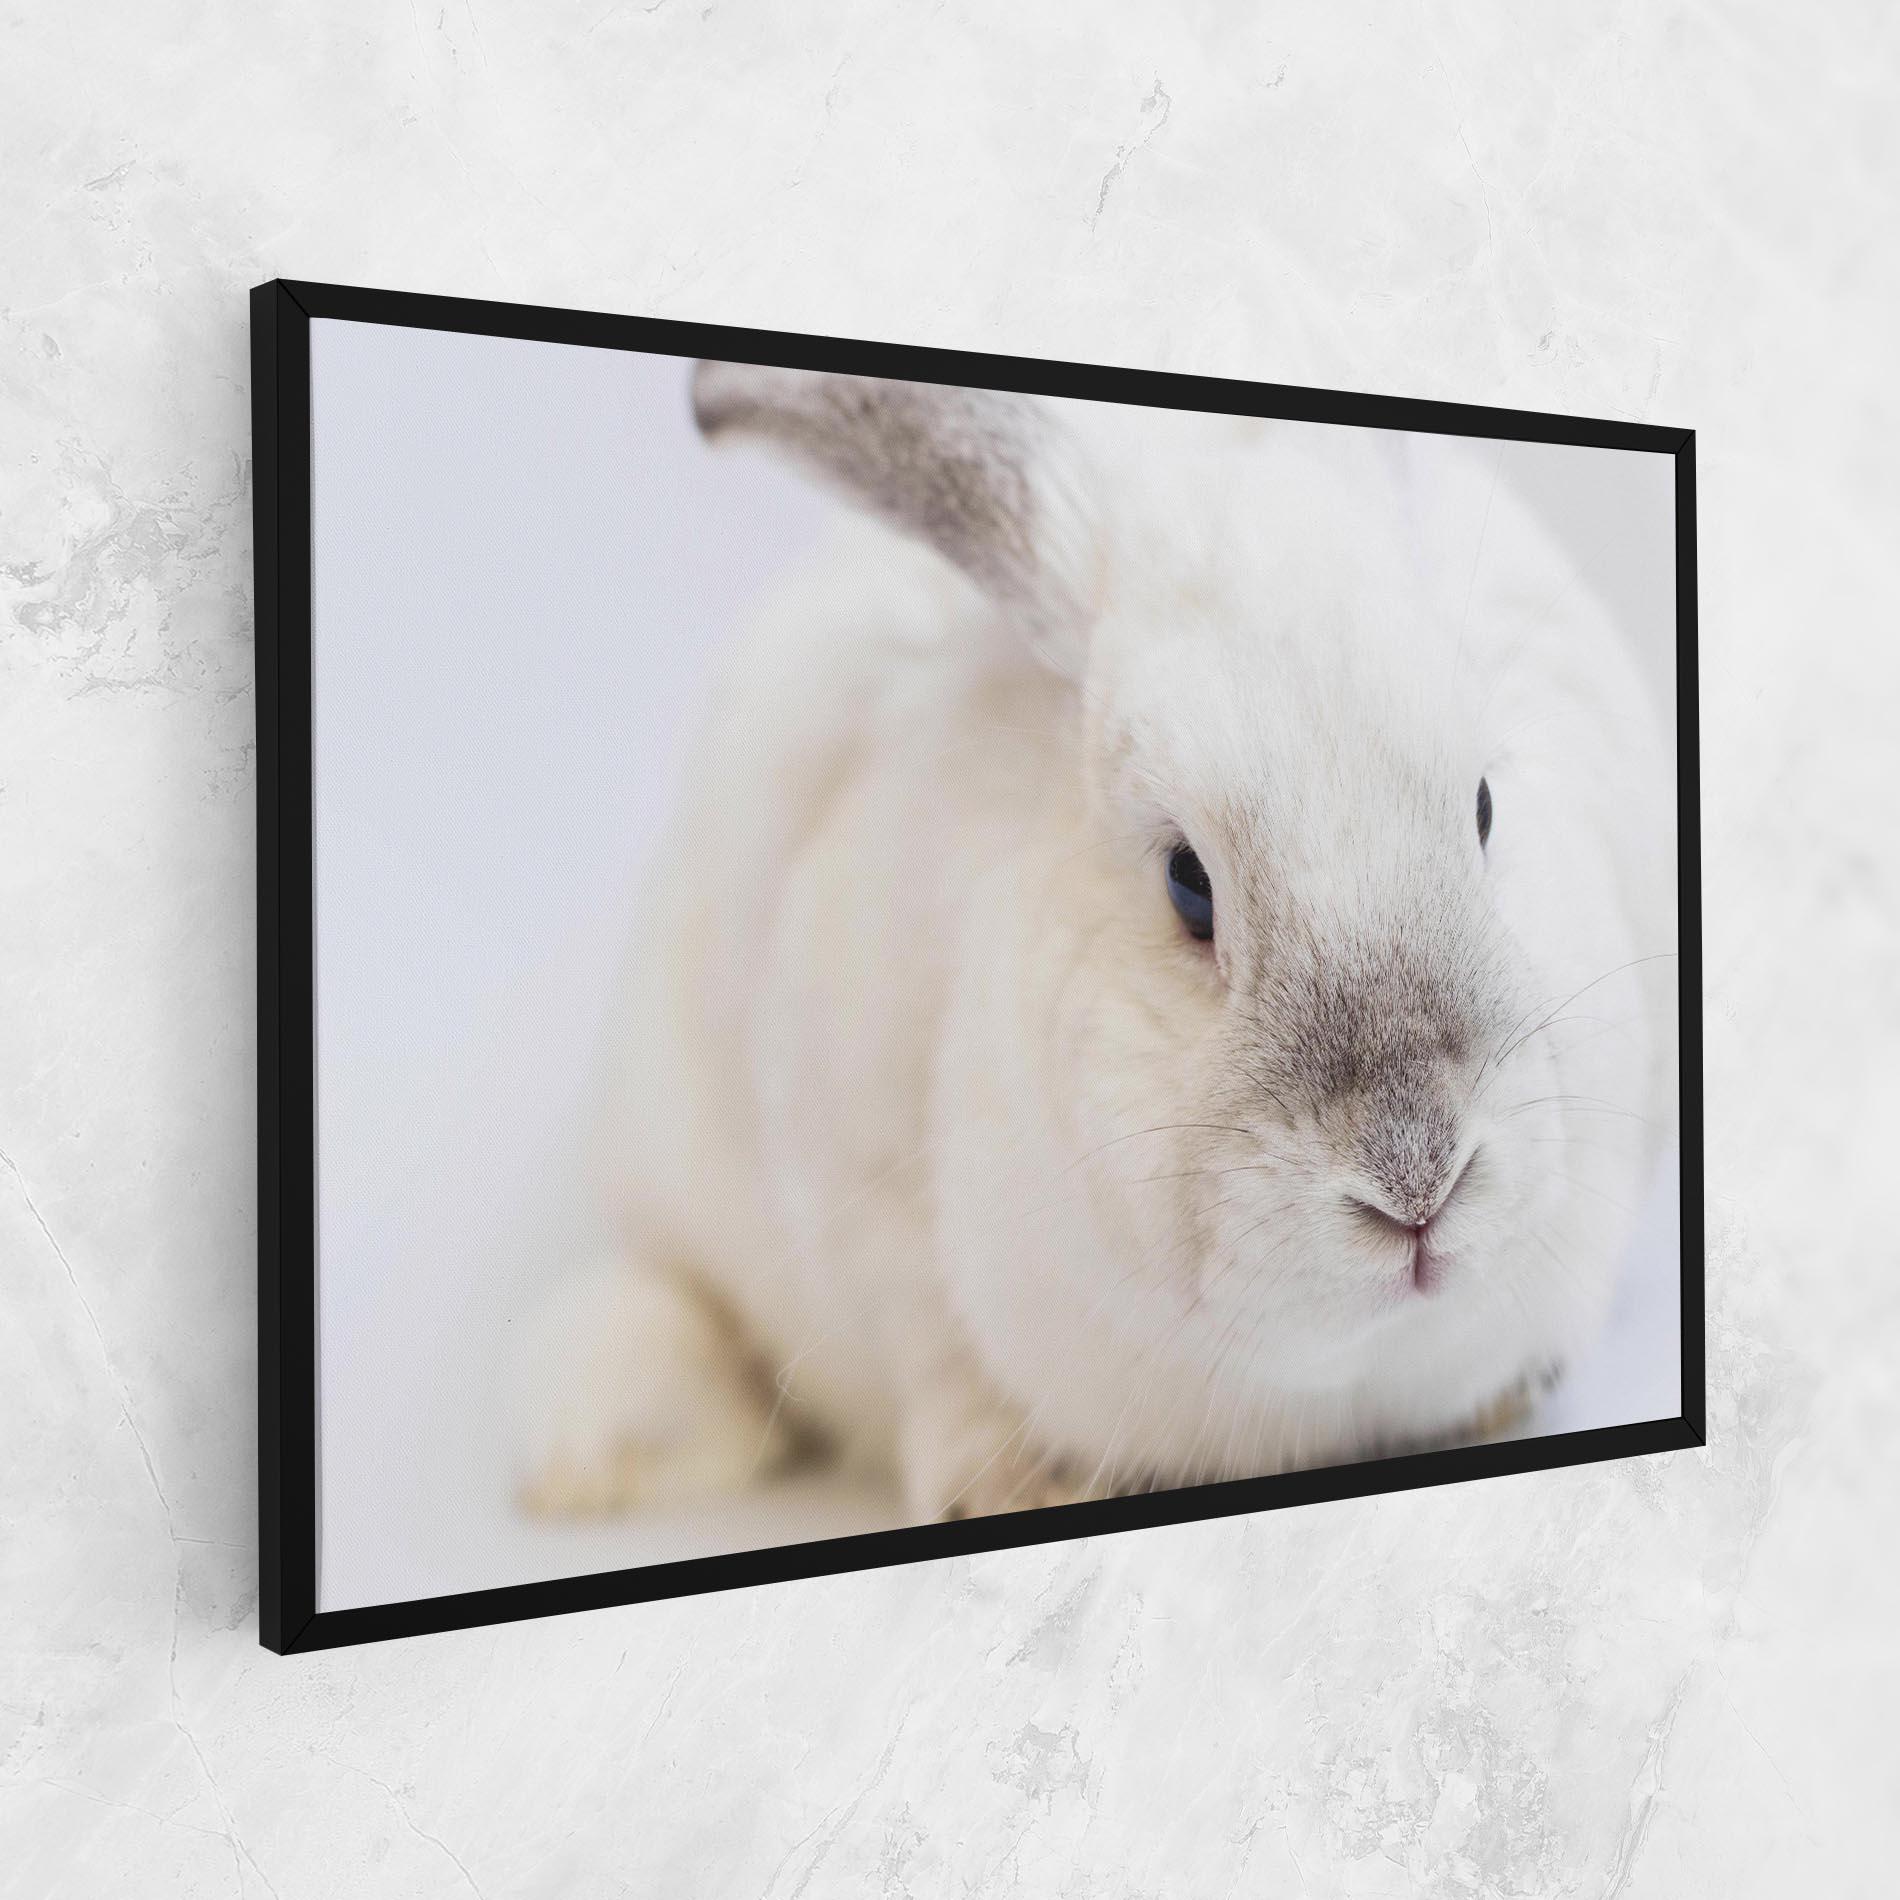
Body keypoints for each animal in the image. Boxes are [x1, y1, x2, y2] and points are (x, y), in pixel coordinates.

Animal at [515, 361, 1678, 1525]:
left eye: (1483, 807)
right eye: (1186, 883)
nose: (1418, 1180)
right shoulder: (862, 1187)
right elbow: (935, 1359)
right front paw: (1009, 1488)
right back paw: (602, 1449)